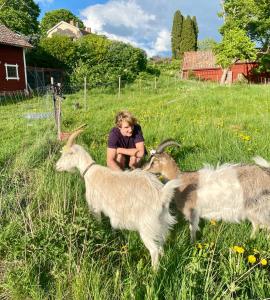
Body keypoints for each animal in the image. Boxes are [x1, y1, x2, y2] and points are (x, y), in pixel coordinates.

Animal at [56, 131, 180, 268]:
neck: (90, 172)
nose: (56, 166)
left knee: (154, 250)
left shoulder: (95, 208)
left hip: (147, 226)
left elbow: (99, 223)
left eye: (67, 154)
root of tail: (161, 194)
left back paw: (153, 272)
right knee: (161, 242)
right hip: (161, 222)